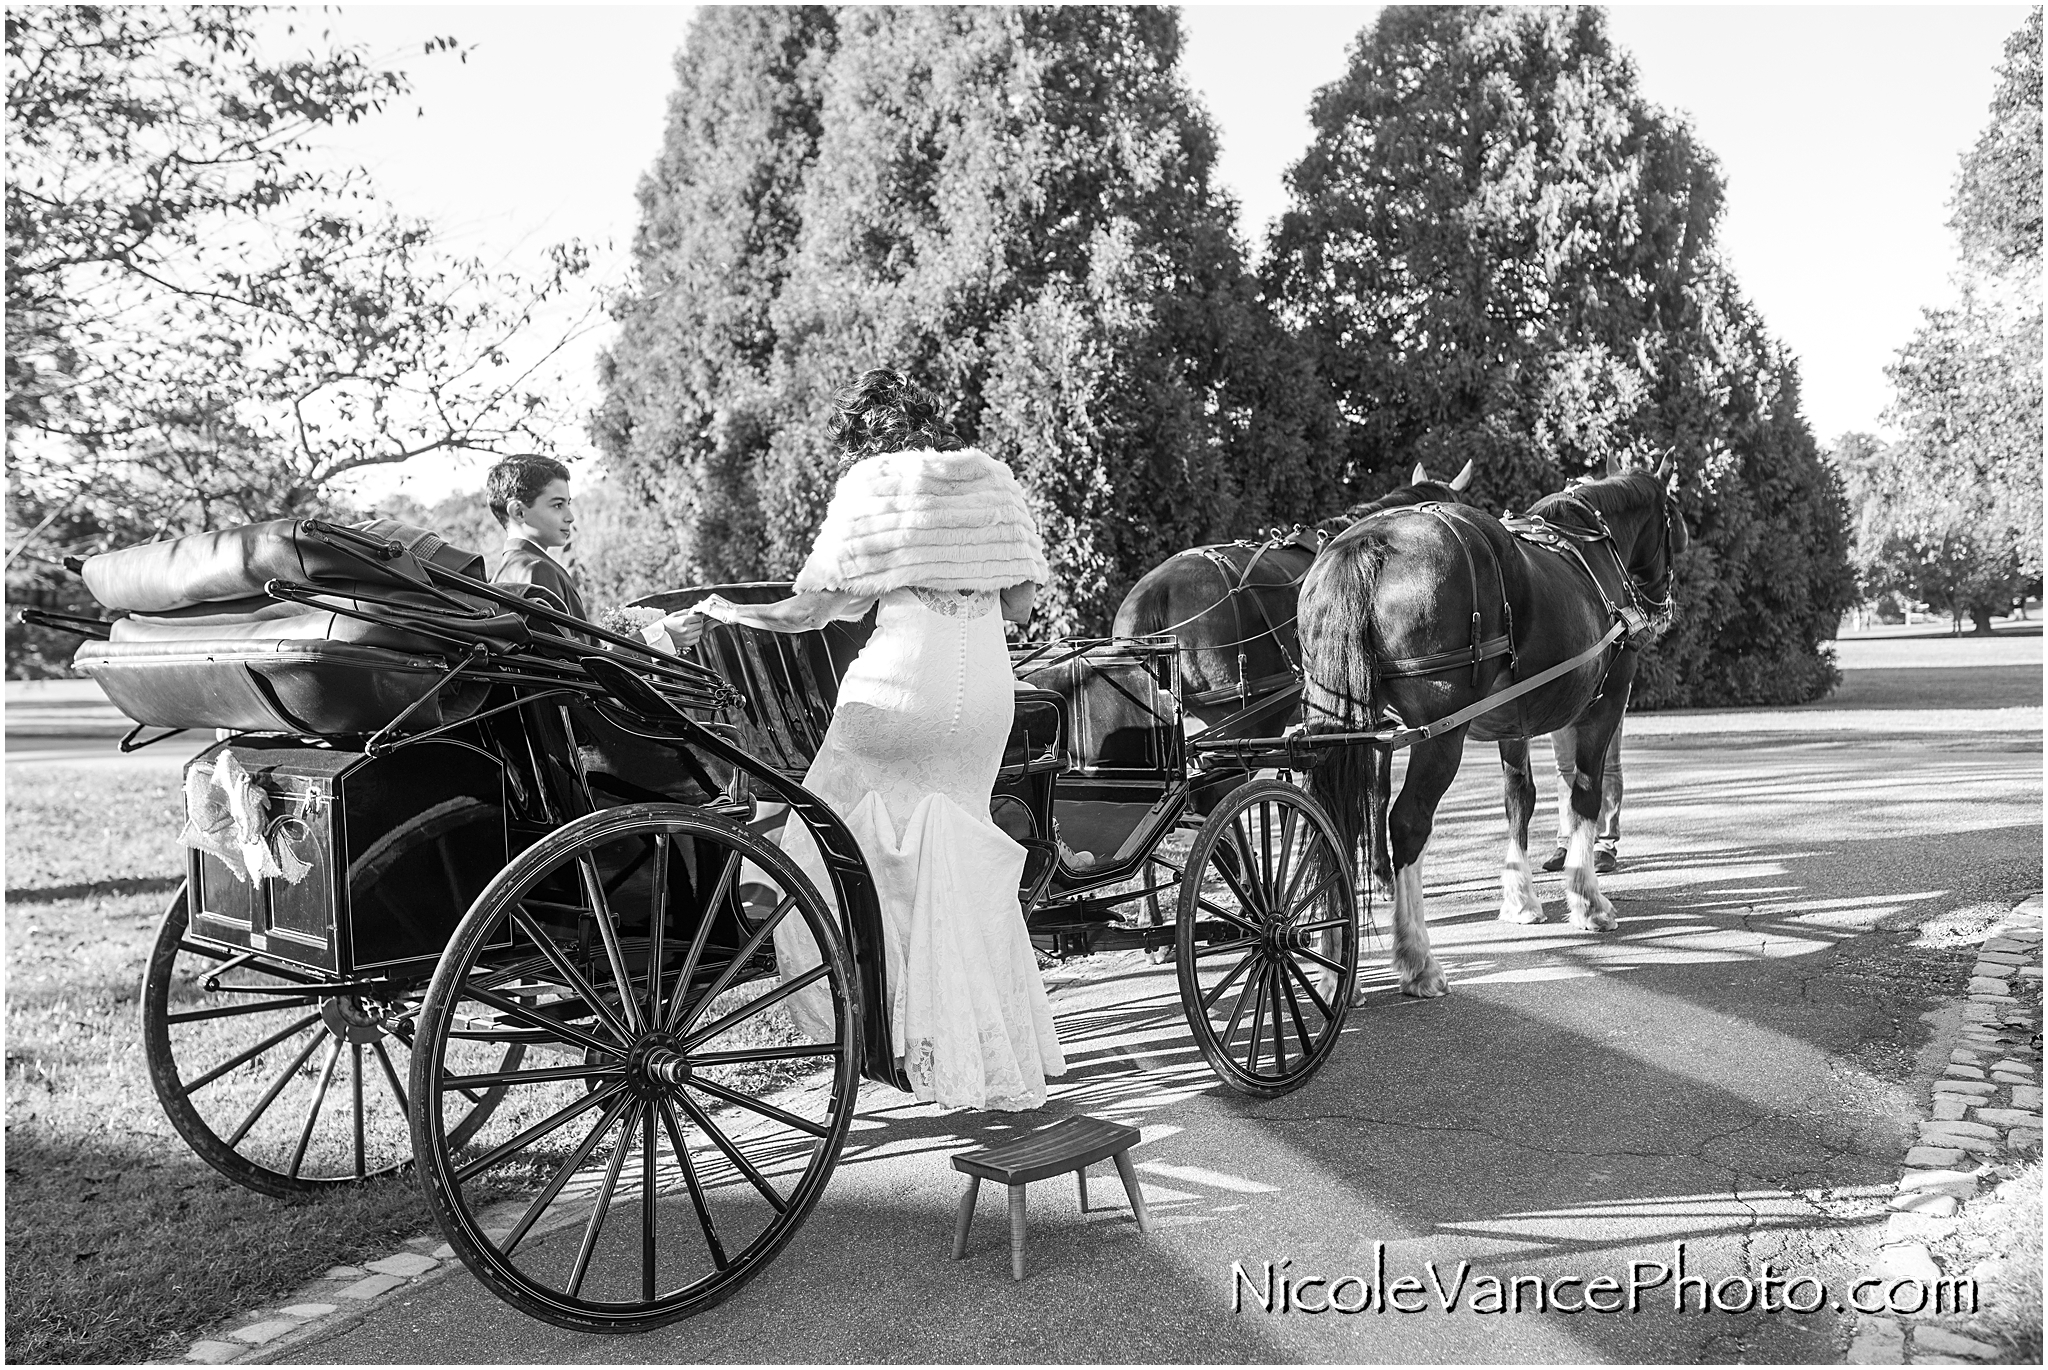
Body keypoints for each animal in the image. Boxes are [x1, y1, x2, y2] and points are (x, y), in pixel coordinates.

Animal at [1302, 458, 1687, 995]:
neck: (1590, 544)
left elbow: (1518, 799)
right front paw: (1588, 901)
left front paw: (1521, 899)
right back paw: (1417, 959)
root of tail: (1371, 542)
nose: (1663, 607)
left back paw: (1333, 967)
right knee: (1407, 822)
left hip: (1344, 726)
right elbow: (1585, 795)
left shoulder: (1512, 721)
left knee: (1332, 822)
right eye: (1674, 520)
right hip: (1439, 736)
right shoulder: (1605, 705)